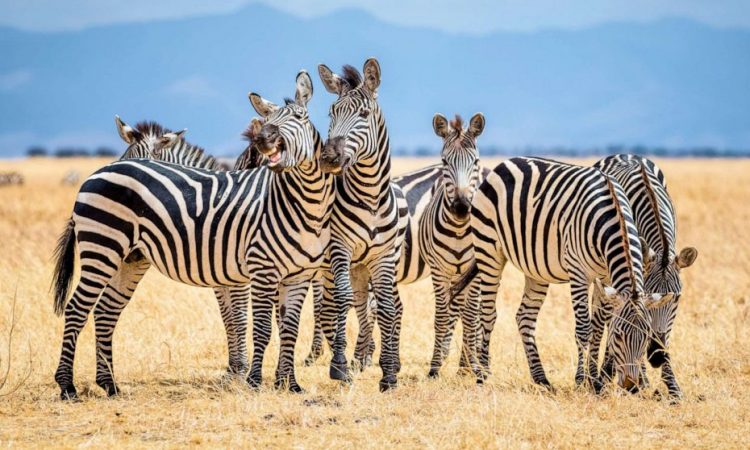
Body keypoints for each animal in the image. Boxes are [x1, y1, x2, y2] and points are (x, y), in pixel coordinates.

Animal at [51, 70, 335, 399]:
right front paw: (249, 379)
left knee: (105, 311)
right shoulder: (256, 271)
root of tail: (94, 175)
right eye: (269, 119)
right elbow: (253, 324)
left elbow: (285, 327)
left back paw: (109, 384)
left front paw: (287, 384)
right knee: (76, 309)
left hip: (129, 259)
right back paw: (67, 385)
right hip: (102, 248)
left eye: (300, 117)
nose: (264, 140)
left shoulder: (294, 275)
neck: (304, 203)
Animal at [315, 58, 405, 391]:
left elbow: (388, 307)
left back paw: (369, 358)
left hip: (366, 265)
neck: (370, 196)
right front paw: (339, 366)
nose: (329, 158)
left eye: (364, 115)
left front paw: (389, 373)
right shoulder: (339, 248)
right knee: (345, 305)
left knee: (372, 306)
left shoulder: (383, 256)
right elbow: (342, 302)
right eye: (331, 113)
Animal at [451, 157, 673, 391]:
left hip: (535, 269)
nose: (631, 386)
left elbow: (597, 327)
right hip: (489, 250)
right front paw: (581, 380)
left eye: (646, 337)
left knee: (525, 317)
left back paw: (541, 378)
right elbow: (584, 329)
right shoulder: (578, 273)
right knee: (488, 313)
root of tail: (504, 164)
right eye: (619, 336)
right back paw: (483, 375)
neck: (612, 218)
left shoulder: (605, 277)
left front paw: (595, 382)